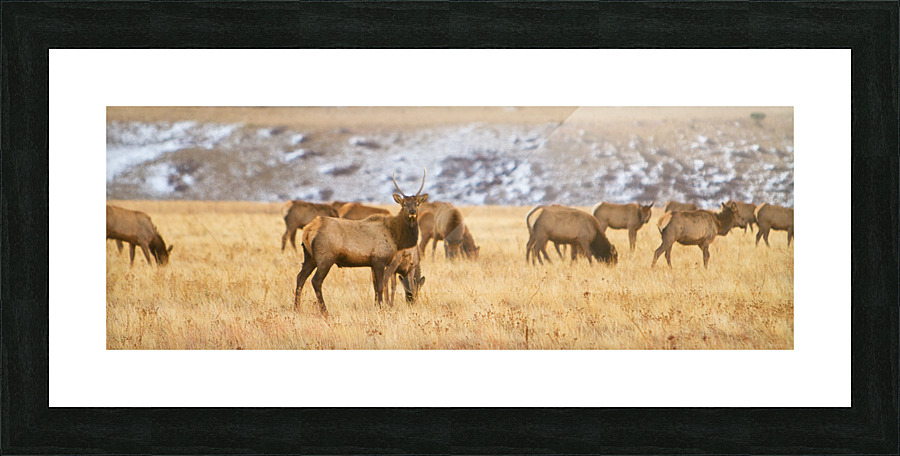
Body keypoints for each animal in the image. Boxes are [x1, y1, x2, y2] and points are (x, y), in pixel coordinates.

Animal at [294, 169, 428, 313]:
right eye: (404, 204)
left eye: (417, 203)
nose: (412, 212)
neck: (396, 236)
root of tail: (308, 230)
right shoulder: (379, 259)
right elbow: (380, 285)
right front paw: (380, 307)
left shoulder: (373, 263)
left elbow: (376, 286)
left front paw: (376, 305)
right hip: (325, 257)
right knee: (316, 281)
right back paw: (325, 311)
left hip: (309, 257)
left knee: (300, 277)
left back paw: (296, 308)